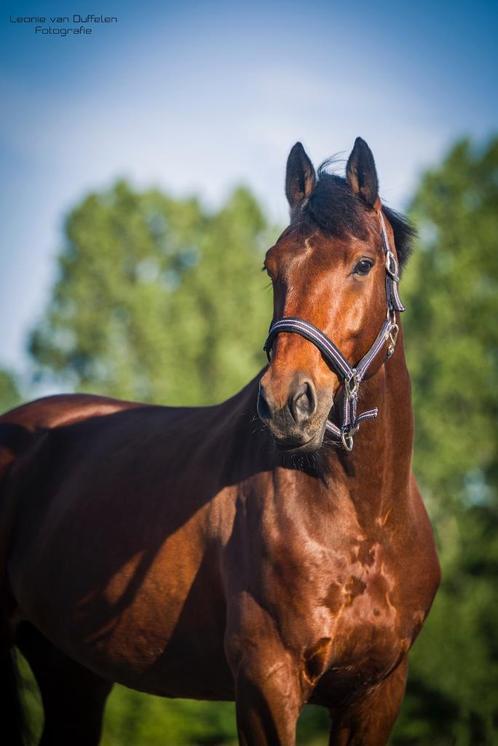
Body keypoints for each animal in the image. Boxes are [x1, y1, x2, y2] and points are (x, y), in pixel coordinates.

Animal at [0, 137, 440, 740]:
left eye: (363, 264)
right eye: (272, 265)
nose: (286, 404)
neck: (365, 519)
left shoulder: (378, 693)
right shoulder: (266, 682)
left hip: (72, 670)